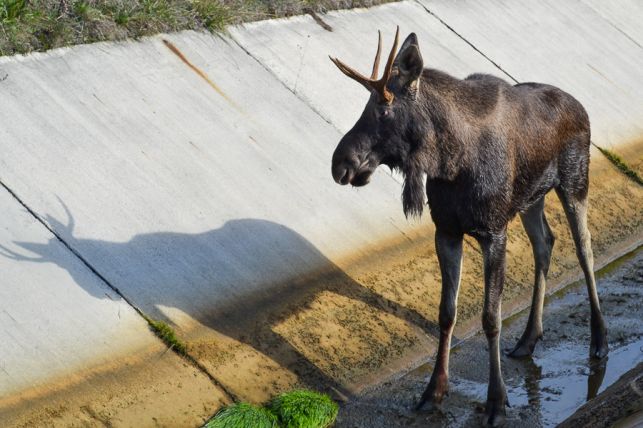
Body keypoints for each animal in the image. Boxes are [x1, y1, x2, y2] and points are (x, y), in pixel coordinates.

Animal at [332, 28, 608, 426]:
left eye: (383, 108)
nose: (340, 163)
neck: (449, 161)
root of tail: (581, 106)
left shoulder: (493, 232)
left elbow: (491, 317)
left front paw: (496, 400)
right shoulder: (446, 230)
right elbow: (446, 313)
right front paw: (433, 391)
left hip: (575, 180)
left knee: (584, 249)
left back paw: (599, 341)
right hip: (531, 198)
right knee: (545, 243)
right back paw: (528, 339)